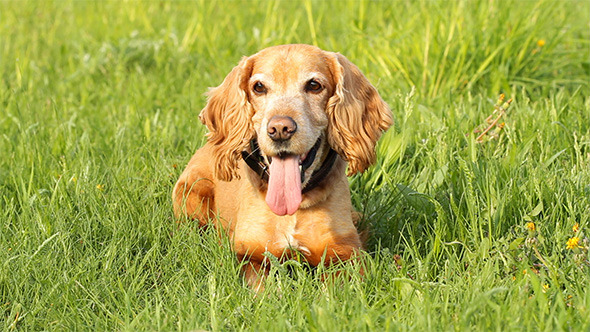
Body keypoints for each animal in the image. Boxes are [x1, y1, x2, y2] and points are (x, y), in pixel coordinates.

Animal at [172, 44, 394, 288]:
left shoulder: (346, 252)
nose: (280, 129)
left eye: (314, 85)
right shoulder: (250, 254)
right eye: (259, 87)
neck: (294, 206)